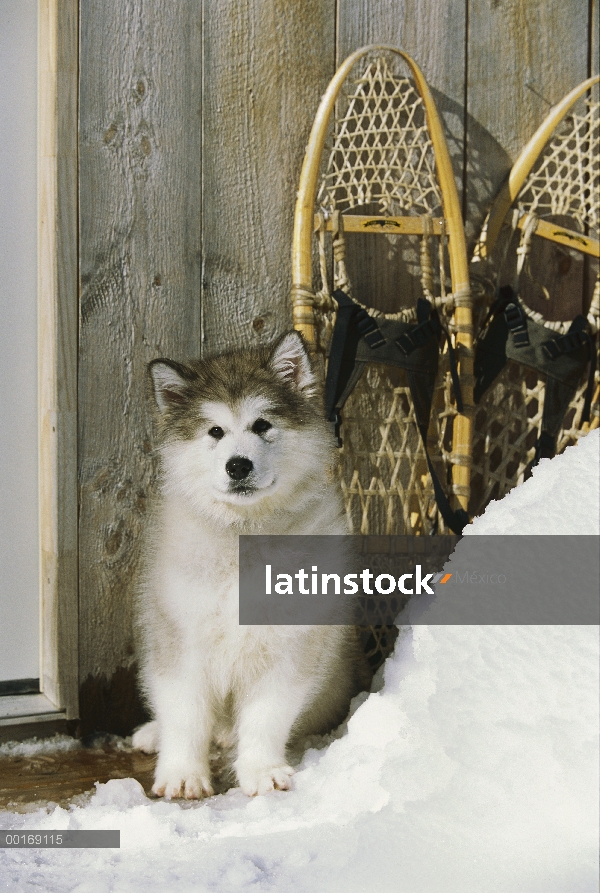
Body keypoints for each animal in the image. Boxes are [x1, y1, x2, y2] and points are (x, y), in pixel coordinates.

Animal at [132, 332, 366, 796]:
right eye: (215, 431)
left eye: (262, 425)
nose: (238, 465)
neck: (244, 533)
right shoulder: (181, 637)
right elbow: (185, 715)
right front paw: (183, 772)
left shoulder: (290, 644)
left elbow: (267, 716)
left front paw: (260, 770)